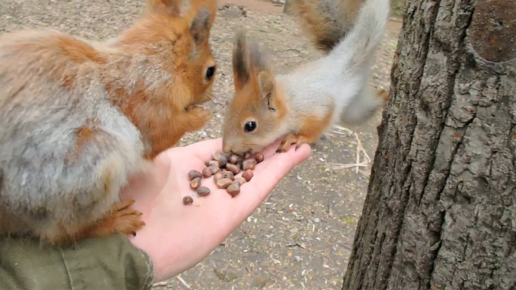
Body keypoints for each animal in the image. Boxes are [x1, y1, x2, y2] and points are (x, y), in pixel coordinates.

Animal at [0, 0, 218, 245]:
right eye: (210, 71)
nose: (208, 97)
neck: (154, 62)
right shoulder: (148, 104)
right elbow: (160, 136)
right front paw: (199, 116)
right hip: (90, 168)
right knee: (63, 232)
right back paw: (116, 221)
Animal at [220, 0, 390, 154]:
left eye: (250, 126)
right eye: (228, 112)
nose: (226, 149)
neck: (290, 103)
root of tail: (339, 60)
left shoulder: (318, 108)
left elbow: (315, 128)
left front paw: (297, 138)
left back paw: (385, 96)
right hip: (353, 110)